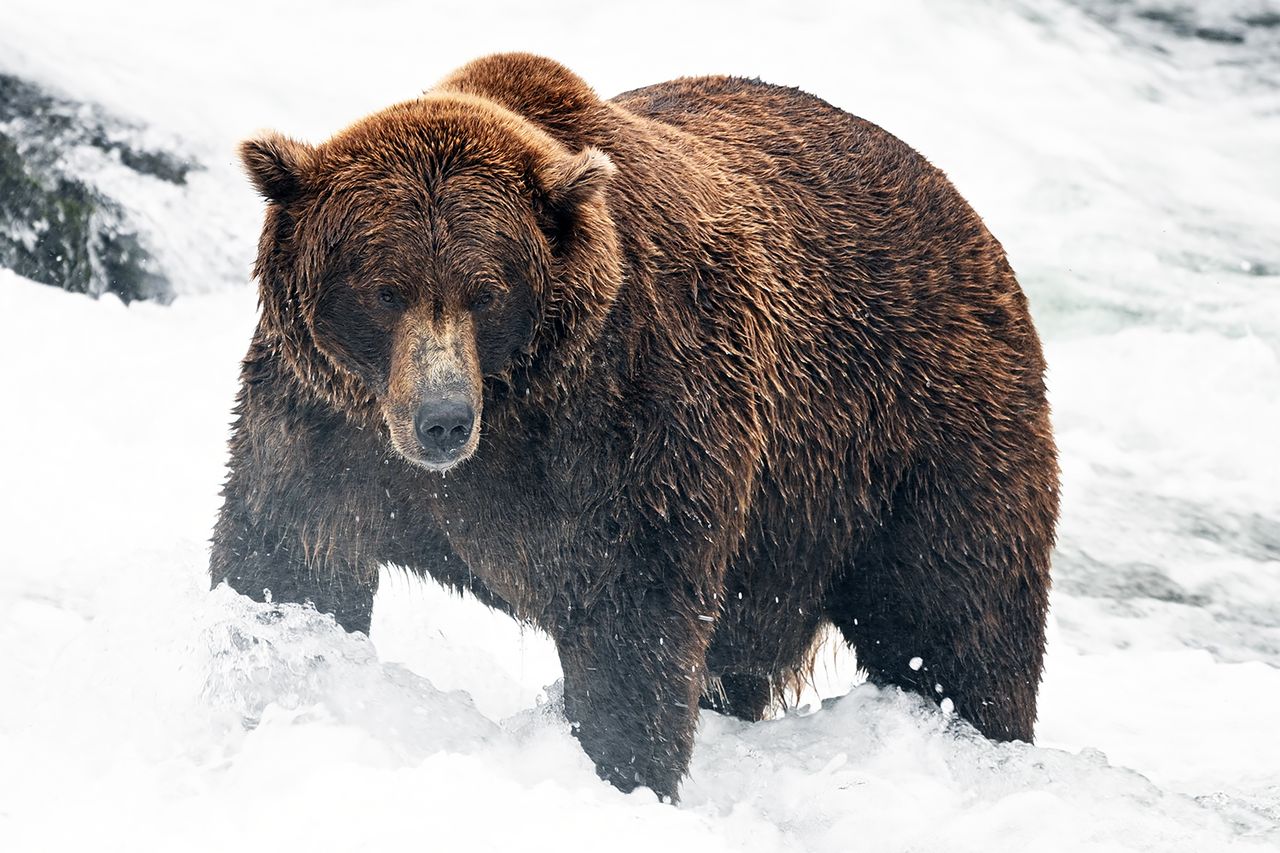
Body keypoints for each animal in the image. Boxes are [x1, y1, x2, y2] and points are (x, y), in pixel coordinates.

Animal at [211, 52, 1059, 801]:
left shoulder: (633, 418)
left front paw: (620, 772)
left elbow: (632, 622)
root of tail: (970, 221)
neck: (516, 408)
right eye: (384, 288)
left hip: (917, 444)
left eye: (486, 291)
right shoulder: (323, 422)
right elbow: (290, 557)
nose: (442, 420)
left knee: (958, 625)